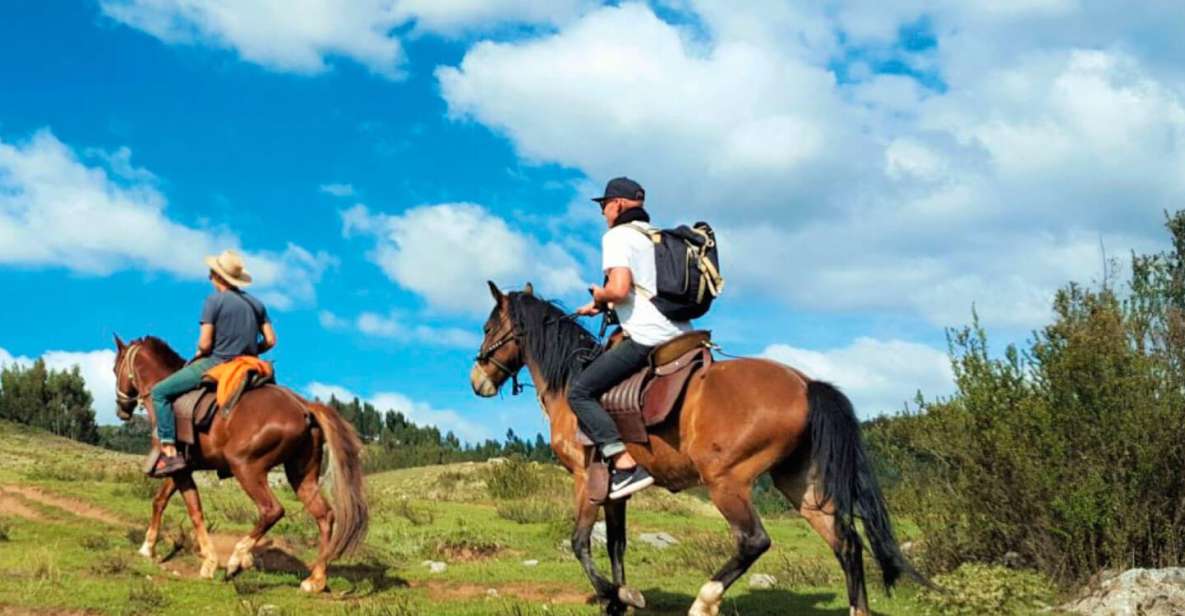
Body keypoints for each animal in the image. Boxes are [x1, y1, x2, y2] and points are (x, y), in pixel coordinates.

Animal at [111, 336, 369, 592]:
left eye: (115, 368)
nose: (121, 409)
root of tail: (304, 406)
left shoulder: (181, 469)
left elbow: (194, 510)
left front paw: (209, 562)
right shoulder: (182, 468)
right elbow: (160, 501)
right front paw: (148, 547)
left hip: (246, 468)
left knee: (272, 510)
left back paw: (237, 560)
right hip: (301, 475)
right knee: (325, 516)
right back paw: (315, 579)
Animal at [469, 283, 924, 616]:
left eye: (489, 327)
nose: (477, 381)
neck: (570, 383)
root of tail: (804, 383)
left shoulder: (586, 481)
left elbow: (580, 543)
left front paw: (618, 596)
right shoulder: (615, 490)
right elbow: (616, 544)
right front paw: (621, 597)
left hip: (726, 481)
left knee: (754, 541)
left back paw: (704, 602)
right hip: (800, 484)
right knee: (846, 542)